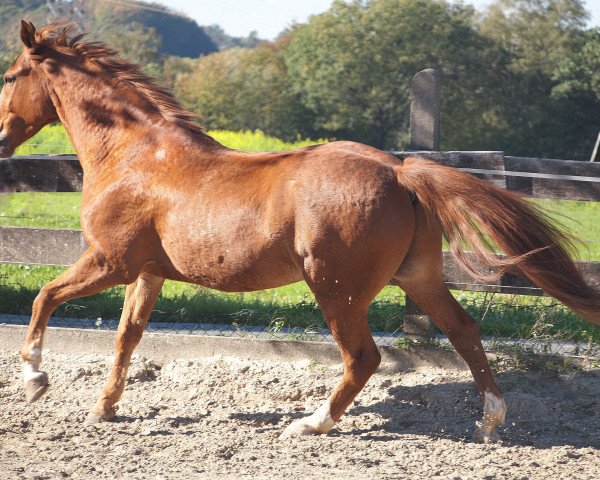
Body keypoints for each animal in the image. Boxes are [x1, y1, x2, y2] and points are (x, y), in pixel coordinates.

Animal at [1, 22, 600, 442]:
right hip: (420, 277)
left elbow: (43, 297)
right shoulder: (147, 272)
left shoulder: (111, 260)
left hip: (336, 288)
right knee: (465, 332)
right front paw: (103, 406)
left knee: (364, 358)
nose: (2, 140)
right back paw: (490, 421)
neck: (135, 155)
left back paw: (310, 424)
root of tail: (399, 170)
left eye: (9, 77)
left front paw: (34, 380)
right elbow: (127, 335)